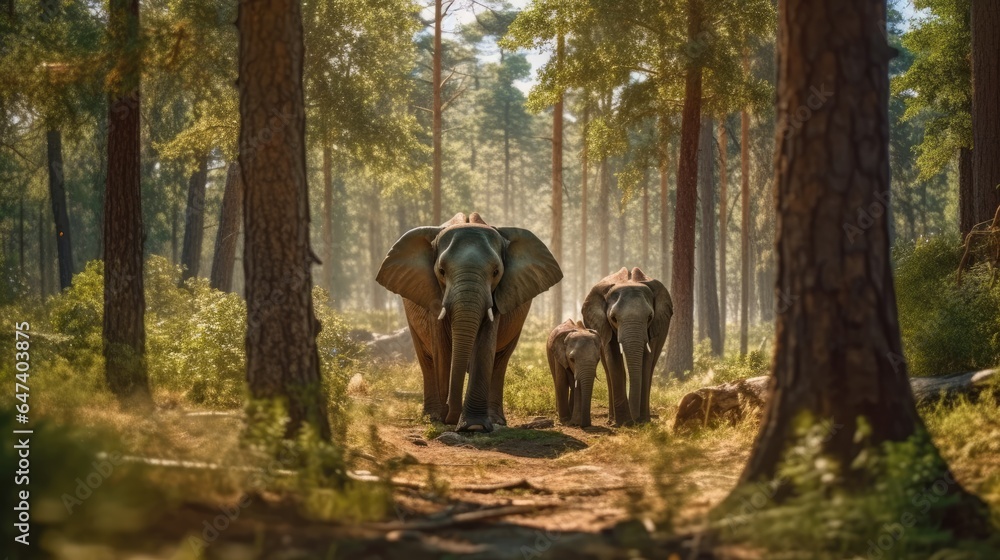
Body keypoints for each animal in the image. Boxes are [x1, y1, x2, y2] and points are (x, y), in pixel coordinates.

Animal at [376, 212, 562, 432]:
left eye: (496, 272)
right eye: (441, 271)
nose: (450, 415)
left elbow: (485, 347)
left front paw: (474, 427)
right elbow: (442, 348)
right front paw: (447, 419)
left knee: (500, 361)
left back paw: (495, 420)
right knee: (426, 359)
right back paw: (431, 416)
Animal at [583, 267, 672, 426]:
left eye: (649, 317)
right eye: (613, 318)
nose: (634, 421)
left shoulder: (656, 324)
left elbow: (647, 360)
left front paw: (641, 421)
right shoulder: (603, 324)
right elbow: (613, 356)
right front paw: (624, 422)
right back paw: (612, 420)